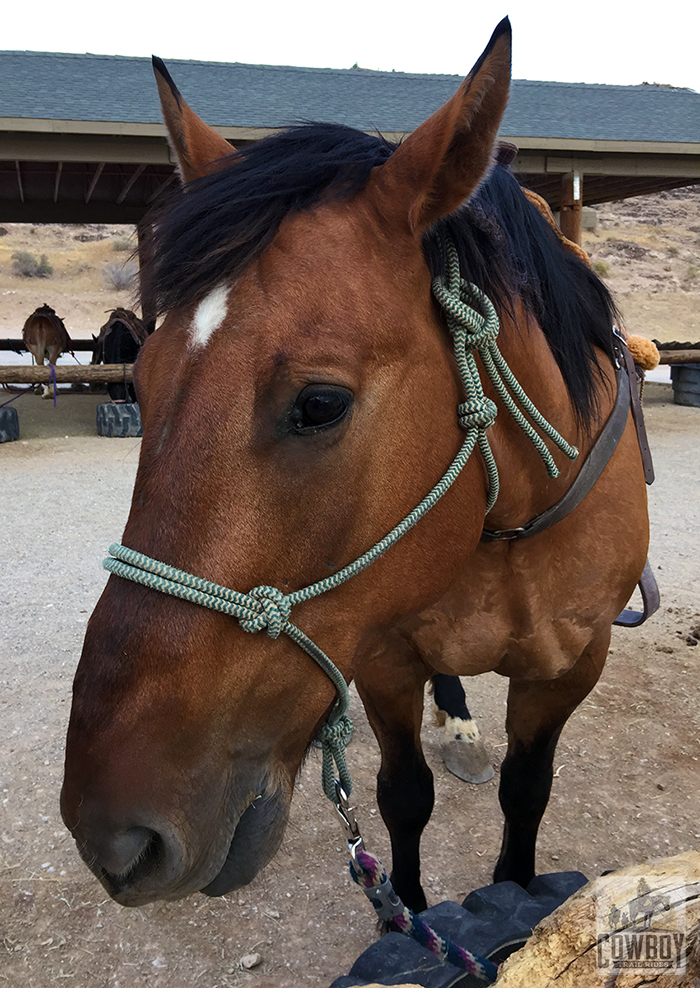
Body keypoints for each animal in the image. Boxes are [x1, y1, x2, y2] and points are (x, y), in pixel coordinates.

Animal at [61, 21, 652, 920]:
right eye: (143, 377)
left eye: (320, 404)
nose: (114, 835)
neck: (509, 525)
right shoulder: (381, 657)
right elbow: (402, 797)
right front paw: (402, 914)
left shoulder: (574, 667)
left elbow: (527, 793)